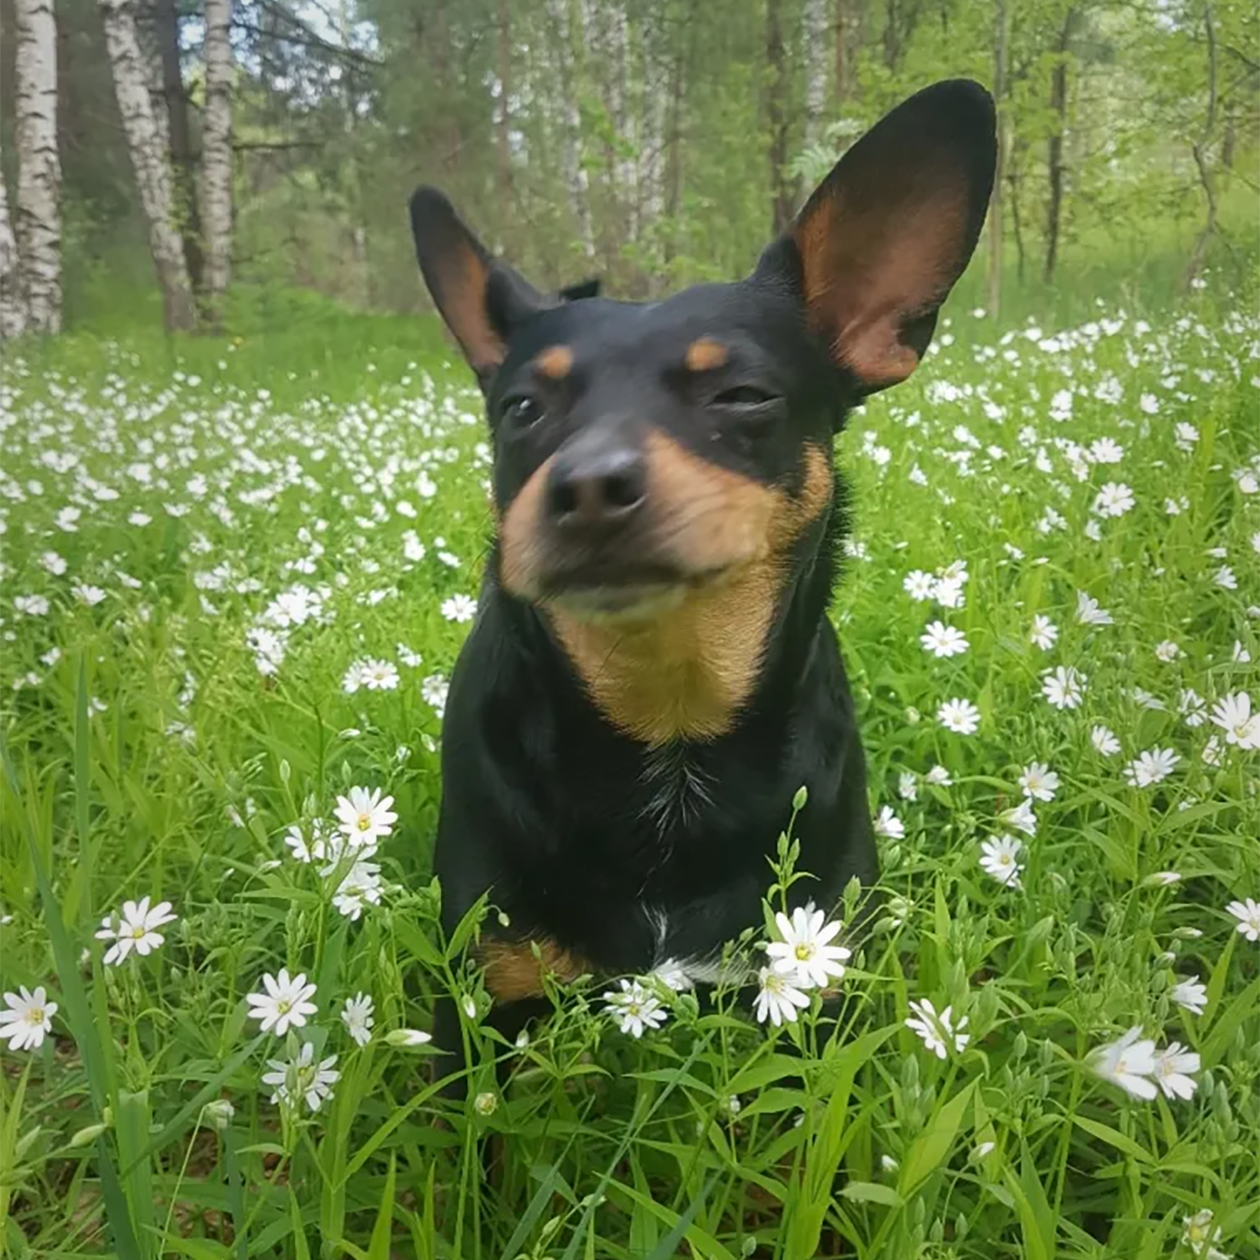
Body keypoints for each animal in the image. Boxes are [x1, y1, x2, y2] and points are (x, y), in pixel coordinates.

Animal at [410, 78, 992, 1088]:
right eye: (521, 409)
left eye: (743, 397)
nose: (586, 485)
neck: (669, 719)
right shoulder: (483, 1009)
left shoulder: (815, 991)